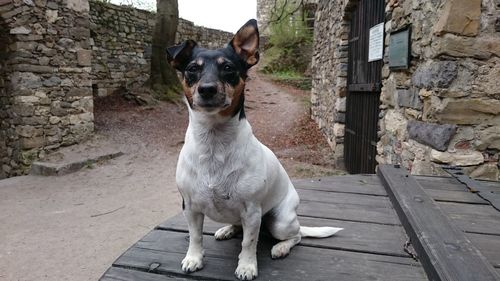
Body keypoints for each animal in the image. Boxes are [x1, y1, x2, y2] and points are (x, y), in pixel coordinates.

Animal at [168, 18, 344, 278]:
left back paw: (281, 247)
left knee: (297, 236)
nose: (207, 89)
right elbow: (195, 236)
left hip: (279, 222)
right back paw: (227, 230)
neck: (214, 142)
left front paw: (247, 266)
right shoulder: (190, 207)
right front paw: (194, 258)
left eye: (228, 68)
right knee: (239, 226)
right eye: (192, 69)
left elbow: (249, 242)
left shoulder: (252, 212)